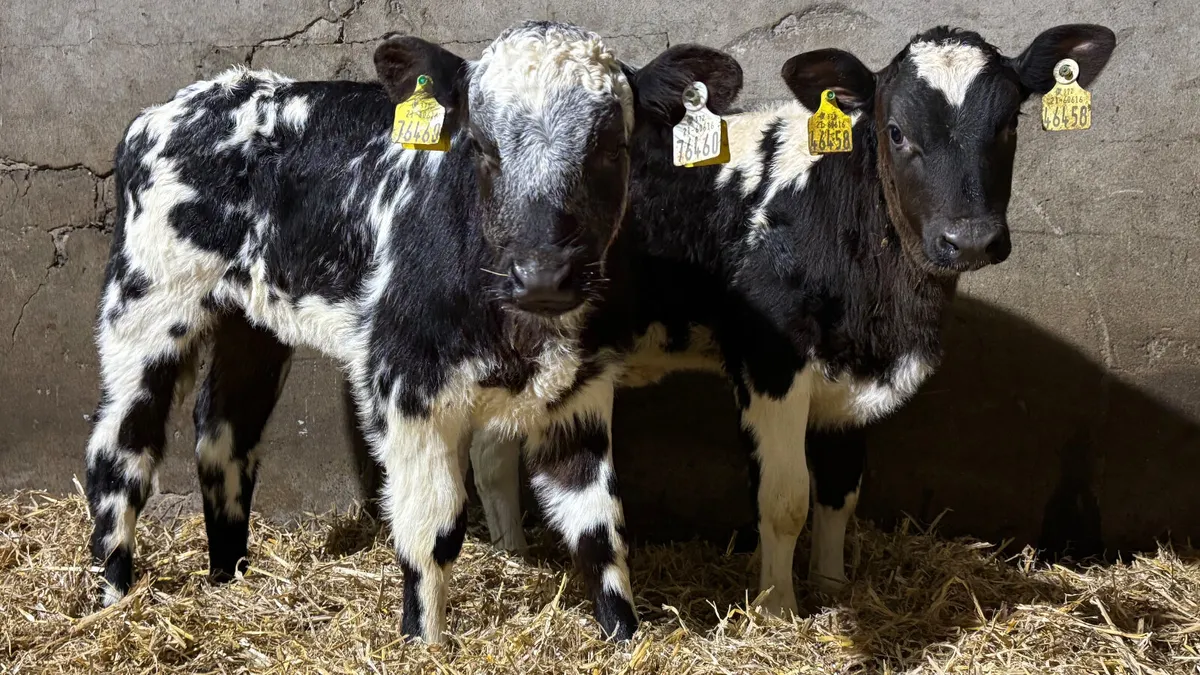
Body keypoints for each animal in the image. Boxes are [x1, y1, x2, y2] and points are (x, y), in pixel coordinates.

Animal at [83, 20, 743, 643]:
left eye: (610, 148)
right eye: (482, 146)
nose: (543, 275)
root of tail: (174, 107)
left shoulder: (579, 390)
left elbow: (599, 529)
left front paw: (625, 637)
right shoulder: (406, 385)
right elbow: (434, 530)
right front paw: (421, 640)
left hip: (252, 325)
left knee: (224, 434)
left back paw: (228, 577)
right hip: (144, 305)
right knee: (119, 448)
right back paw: (111, 598)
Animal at [469, 23, 1117, 617]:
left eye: (1009, 124)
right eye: (896, 131)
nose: (971, 240)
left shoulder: (849, 375)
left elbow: (839, 491)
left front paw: (831, 587)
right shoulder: (771, 363)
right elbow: (784, 500)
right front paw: (778, 608)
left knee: (491, 447)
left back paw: (512, 557)